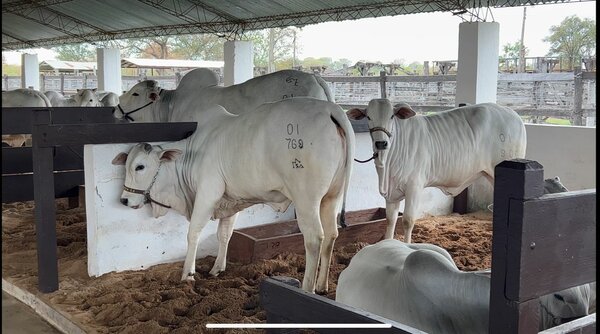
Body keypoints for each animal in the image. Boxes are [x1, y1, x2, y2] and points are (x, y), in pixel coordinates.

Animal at [110, 97, 354, 292]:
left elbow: (193, 233)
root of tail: (331, 108)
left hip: (306, 199)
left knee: (314, 238)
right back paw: (322, 286)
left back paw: (307, 288)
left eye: (140, 167)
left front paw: (188, 274)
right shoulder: (231, 201)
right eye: (127, 165)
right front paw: (217, 268)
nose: (124, 199)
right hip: (331, 197)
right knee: (331, 235)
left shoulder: (207, 194)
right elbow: (224, 234)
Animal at [346, 99, 524, 243]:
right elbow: (390, 220)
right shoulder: (391, 193)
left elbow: (408, 220)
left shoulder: (414, 187)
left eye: (391, 116)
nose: (381, 143)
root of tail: (513, 114)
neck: (386, 165)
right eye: (369, 117)